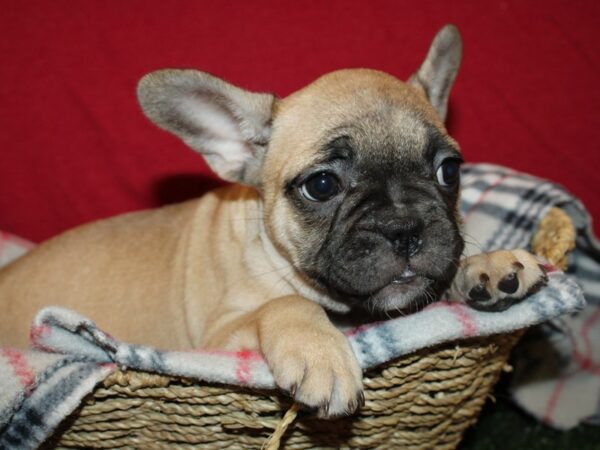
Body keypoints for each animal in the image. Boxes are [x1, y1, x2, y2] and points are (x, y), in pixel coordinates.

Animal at [0, 24, 548, 416]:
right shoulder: (217, 340)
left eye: (449, 171)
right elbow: (285, 303)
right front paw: (320, 352)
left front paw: (486, 266)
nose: (404, 227)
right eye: (322, 185)